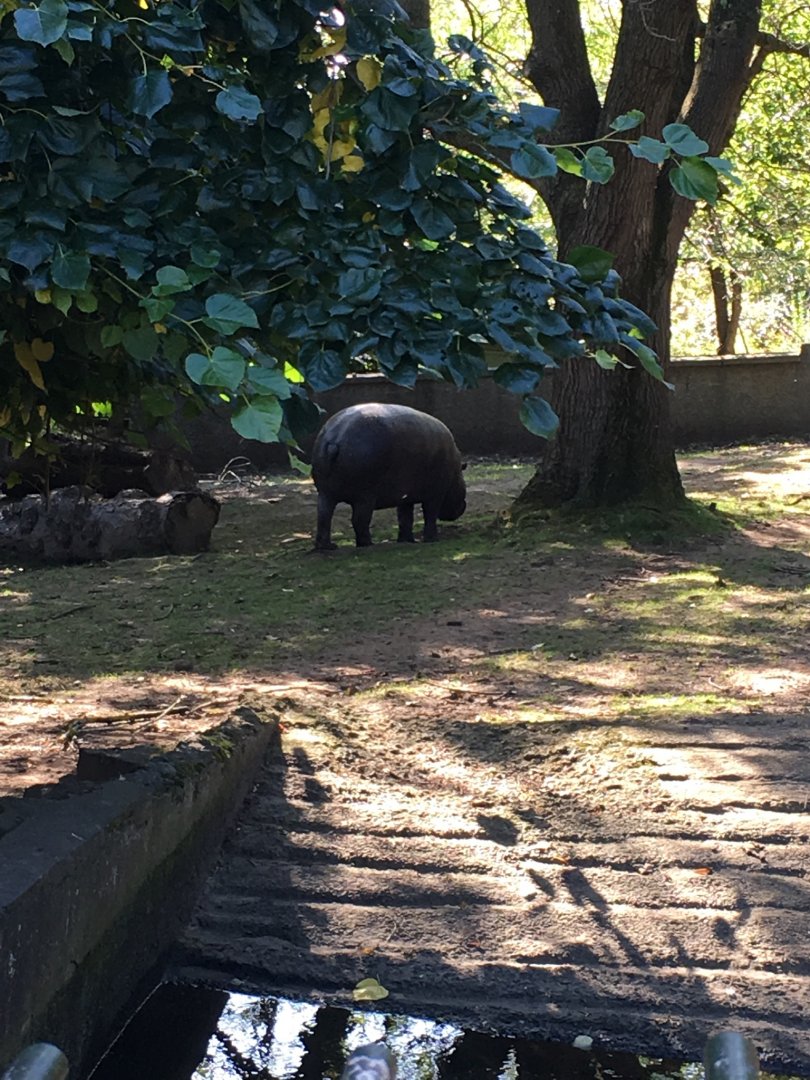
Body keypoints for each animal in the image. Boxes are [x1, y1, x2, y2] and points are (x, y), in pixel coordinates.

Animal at [311, 403, 466, 550]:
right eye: (462, 481)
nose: (462, 507)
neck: (455, 471)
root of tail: (334, 439)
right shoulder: (435, 494)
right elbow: (430, 515)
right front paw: (432, 540)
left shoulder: (406, 496)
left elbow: (405, 518)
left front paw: (407, 540)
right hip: (364, 496)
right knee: (359, 520)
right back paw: (368, 544)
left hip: (326, 493)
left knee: (323, 517)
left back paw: (328, 546)